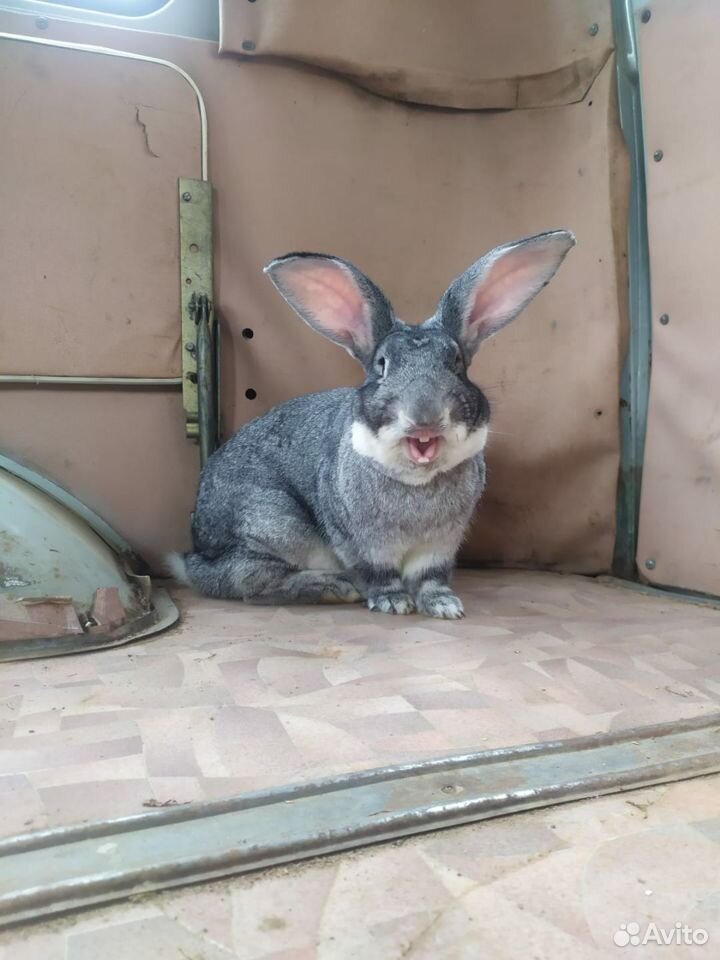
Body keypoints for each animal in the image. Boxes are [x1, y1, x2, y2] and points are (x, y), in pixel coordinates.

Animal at [169, 230, 572, 620]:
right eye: (382, 365)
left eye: (456, 363)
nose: (424, 414)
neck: (417, 480)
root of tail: (195, 556)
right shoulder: (362, 544)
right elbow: (379, 574)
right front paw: (393, 603)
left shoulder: (440, 547)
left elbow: (431, 579)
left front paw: (445, 607)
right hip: (273, 524)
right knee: (251, 583)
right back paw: (335, 588)